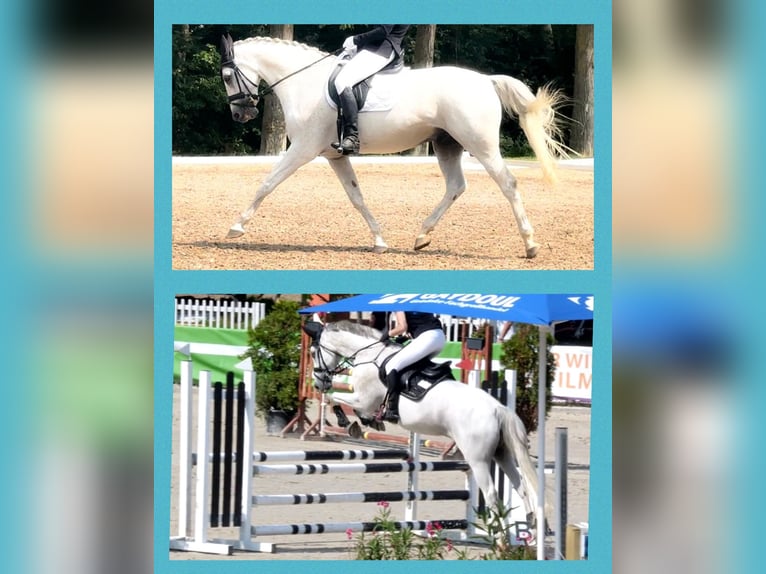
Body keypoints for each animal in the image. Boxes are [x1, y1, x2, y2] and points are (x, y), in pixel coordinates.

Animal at [219, 34, 569, 259]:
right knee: (456, 186)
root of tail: (486, 80)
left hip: (479, 144)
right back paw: (422, 236)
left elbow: (267, 183)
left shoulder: (302, 150)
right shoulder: (335, 156)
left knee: (507, 183)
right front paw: (379, 240)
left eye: (226, 76)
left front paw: (236, 227)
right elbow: (357, 197)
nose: (240, 115)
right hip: (447, 144)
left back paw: (530, 244)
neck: (304, 83)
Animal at [302, 319, 550, 533]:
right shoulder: (365, 402)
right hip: (502, 454)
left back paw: (499, 538)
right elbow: (346, 405)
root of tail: (498, 408)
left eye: (313, 353)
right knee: (521, 487)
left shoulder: (363, 399)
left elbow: (334, 398)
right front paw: (369, 422)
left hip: (478, 459)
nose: (318, 382)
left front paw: (348, 421)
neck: (368, 354)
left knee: (491, 496)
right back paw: (526, 529)